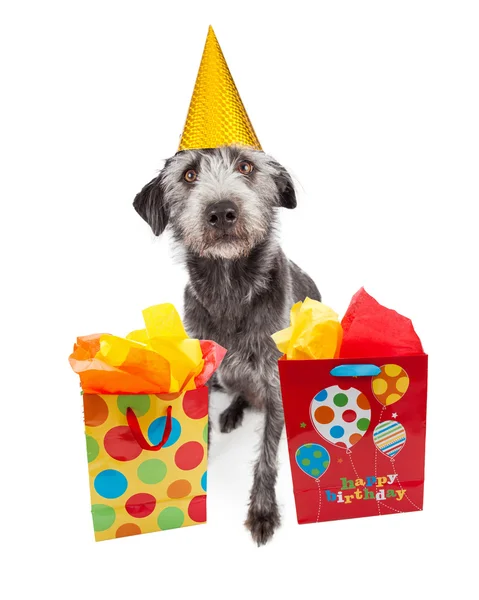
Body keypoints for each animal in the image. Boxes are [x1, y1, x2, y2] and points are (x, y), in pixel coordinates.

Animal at [135, 145, 320, 544]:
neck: (230, 288)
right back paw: (234, 410)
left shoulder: (275, 383)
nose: (221, 212)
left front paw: (262, 511)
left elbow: (267, 455)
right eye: (189, 175)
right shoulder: (206, 374)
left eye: (246, 166)